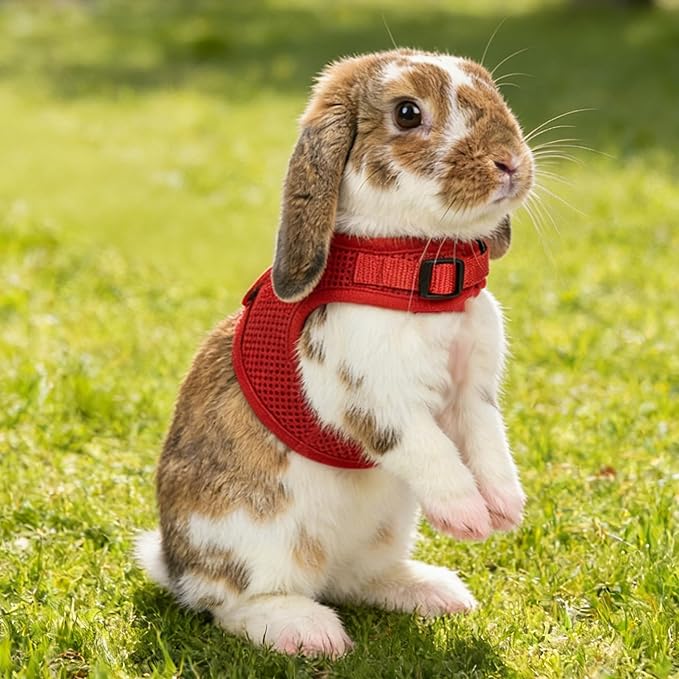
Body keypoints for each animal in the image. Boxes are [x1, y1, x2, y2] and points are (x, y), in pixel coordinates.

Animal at [136, 48, 533, 658]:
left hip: (384, 528)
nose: (509, 162)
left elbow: (489, 447)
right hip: (258, 539)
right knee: (232, 603)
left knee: (357, 579)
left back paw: (435, 592)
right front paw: (467, 518)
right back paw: (308, 631)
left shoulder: (473, 396)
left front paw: (506, 509)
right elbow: (431, 453)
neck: (411, 264)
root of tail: (176, 565)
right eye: (408, 113)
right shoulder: (375, 398)